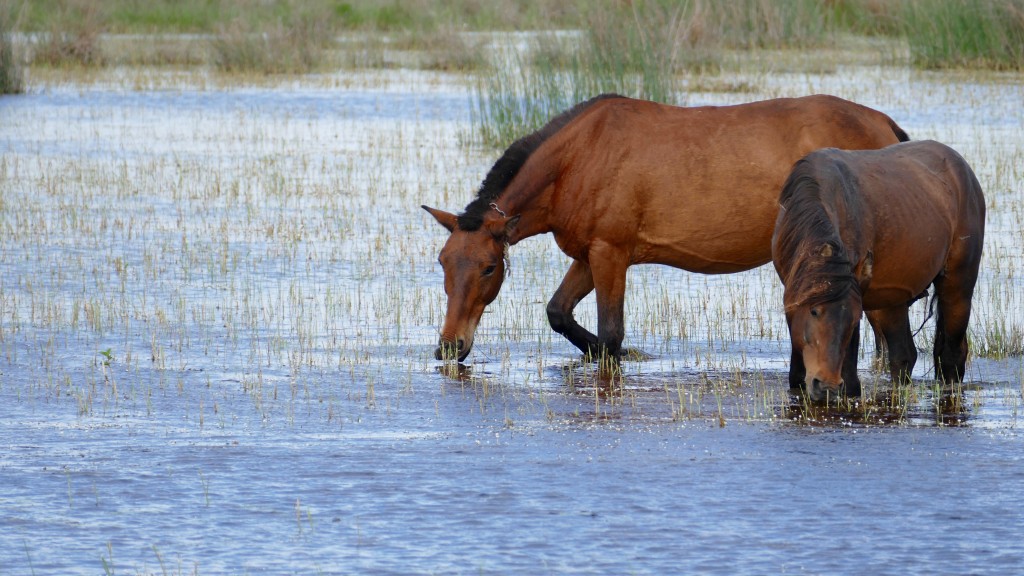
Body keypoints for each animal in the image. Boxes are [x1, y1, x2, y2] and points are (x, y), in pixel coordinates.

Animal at [419, 94, 909, 362]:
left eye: (488, 267)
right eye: (443, 262)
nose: (449, 346)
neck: (577, 157)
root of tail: (882, 123)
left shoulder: (610, 254)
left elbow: (611, 334)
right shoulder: (589, 255)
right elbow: (559, 313)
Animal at [774, 139, 983, 399]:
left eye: (855, 318)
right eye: (814, 311)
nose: (827, 385)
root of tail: (965, 172)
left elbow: (851, 376)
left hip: (957, 288)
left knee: (951, 355)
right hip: (893, 300)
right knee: (904, 355)